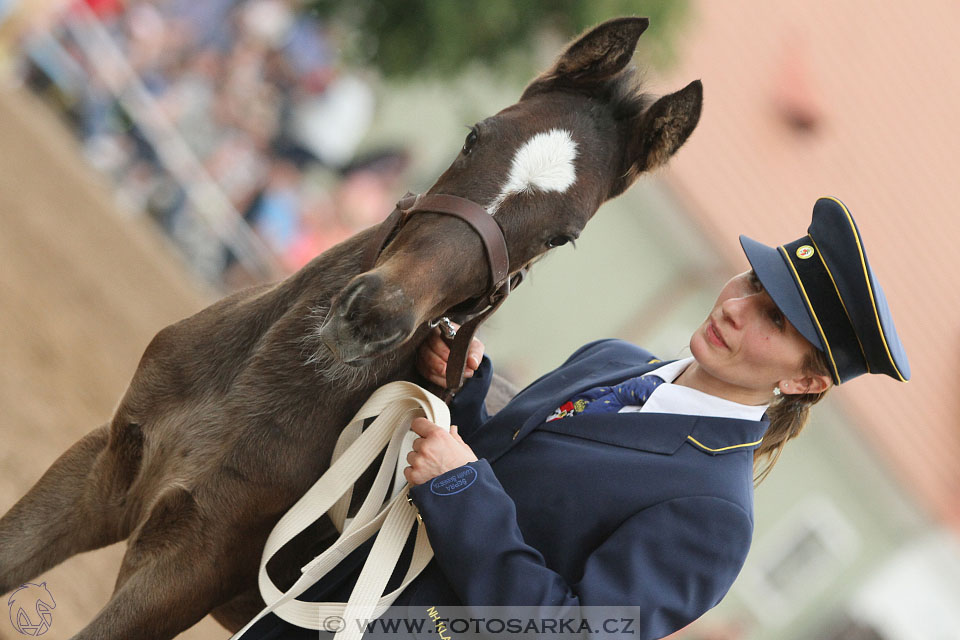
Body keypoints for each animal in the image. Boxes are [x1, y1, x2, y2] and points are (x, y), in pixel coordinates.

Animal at [0, 16, 704, 640]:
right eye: (476, 136)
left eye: (564, 236)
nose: (371, 317)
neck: (255, 389)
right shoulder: (100, 470)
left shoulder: (191, 567)